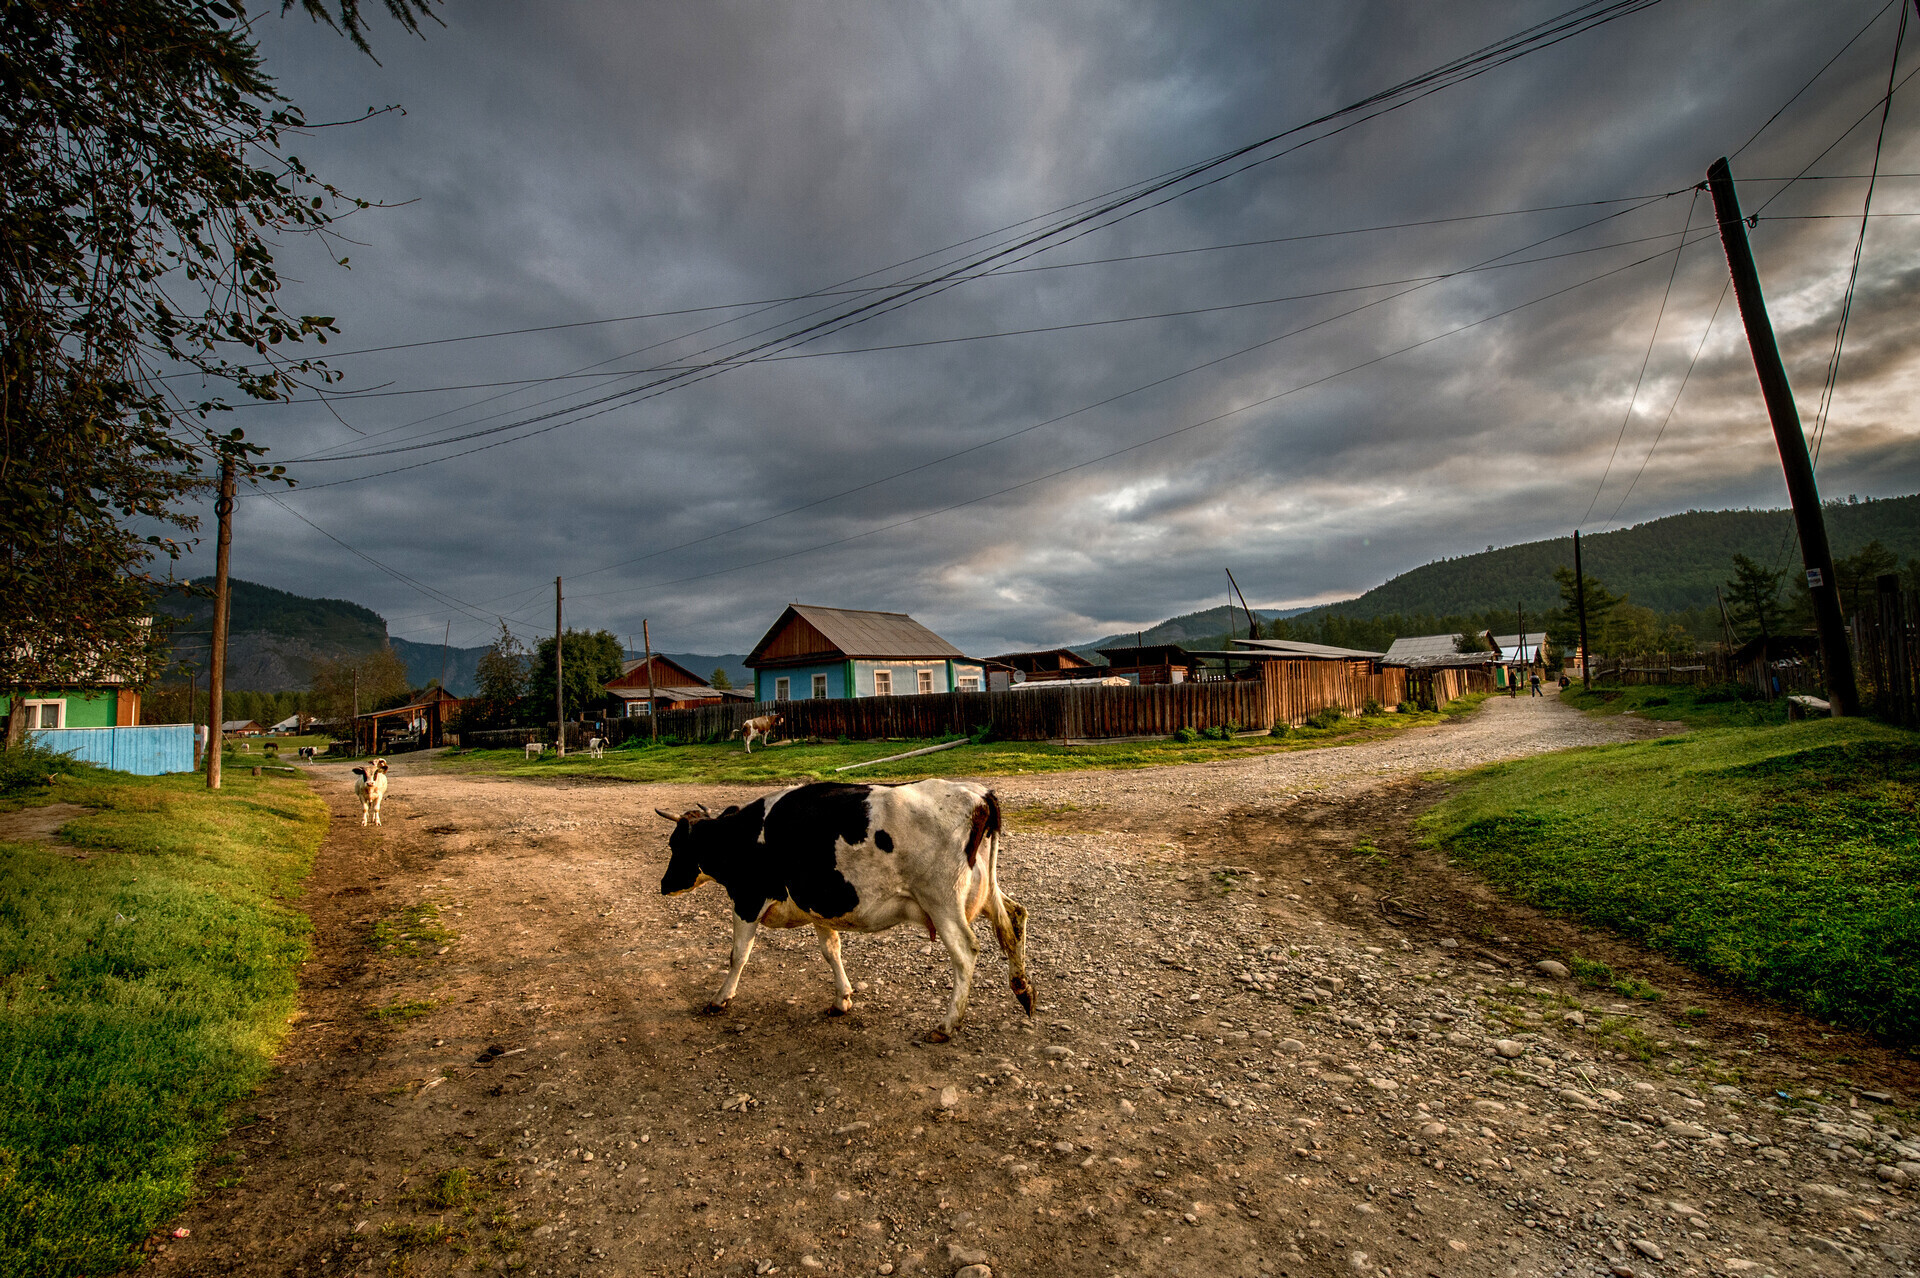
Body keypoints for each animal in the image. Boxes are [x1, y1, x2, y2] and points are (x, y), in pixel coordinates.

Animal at [652, 775, 1029, 1036]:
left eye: (675, 844)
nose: (663, 885)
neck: (741, 836)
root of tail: (978, 793)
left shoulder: (748, 899)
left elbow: (738, 954)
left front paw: (720, 998)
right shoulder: (820, 903)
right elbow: (831, 950)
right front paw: (841, 999)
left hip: (943, 902)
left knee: (966, 952)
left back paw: (947, 1025)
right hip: (984, 890)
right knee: (1013, 917)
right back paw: (1024, 990)